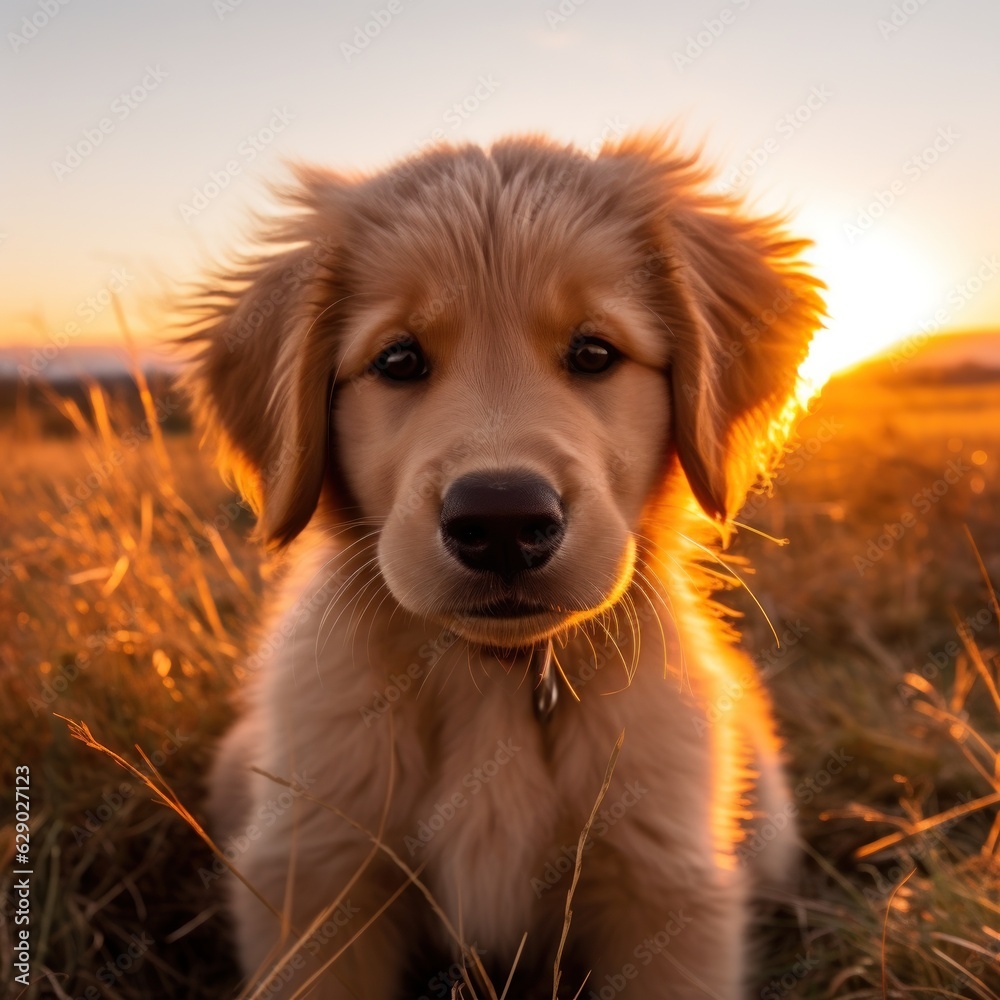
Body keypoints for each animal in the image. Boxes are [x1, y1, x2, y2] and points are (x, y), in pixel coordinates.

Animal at [184, 135, 824, 1000]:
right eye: (398, 359)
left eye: (594, 352)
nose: (501, 521)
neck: (491, 680)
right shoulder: (316, 877)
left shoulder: (666, 892)